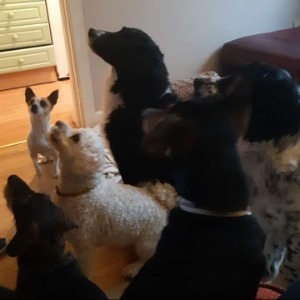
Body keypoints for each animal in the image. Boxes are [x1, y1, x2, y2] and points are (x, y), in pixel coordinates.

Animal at [48, 120, 176, 278]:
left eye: (75, 138)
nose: (58, 122)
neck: (81, 192)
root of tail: (162, 202)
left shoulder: (85, 248)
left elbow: (85, 270)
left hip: (146, 242)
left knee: (147, 258)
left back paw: (133, 268)